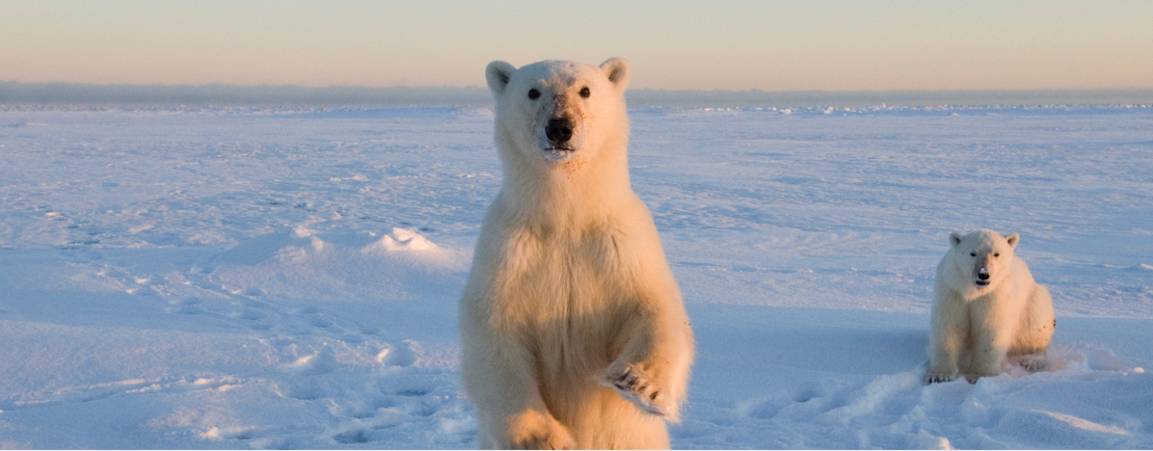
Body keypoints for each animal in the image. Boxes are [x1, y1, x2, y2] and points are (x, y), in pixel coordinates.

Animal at [456, 58, 691, 449]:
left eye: (585, 90)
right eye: (533, 91)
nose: (559, 128)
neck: (567, 217)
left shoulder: (620, 243)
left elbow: (654, 305)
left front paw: (639, 384)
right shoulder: (510, 251)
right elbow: (494, 334)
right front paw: (544, 438)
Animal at [922, 231, 1056, 382]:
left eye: (996, 254)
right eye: (973, 253)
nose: (984, 274)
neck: (974, 291)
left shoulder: (995, 295)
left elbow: (991, 329)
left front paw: (978, 375)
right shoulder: (952, 289)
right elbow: (948, 326)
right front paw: (939, 375)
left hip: (1032, 302)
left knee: (1034, 329)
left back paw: (1032, 361)